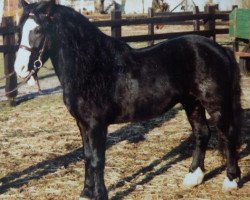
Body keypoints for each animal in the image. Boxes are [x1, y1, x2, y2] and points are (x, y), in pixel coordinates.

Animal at [14, 0, 241, 199]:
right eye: (20, 29)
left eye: (38, 30)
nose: (20, 69)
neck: (92, 67)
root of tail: (220, 49)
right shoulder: (82, 124)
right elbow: (86, 157)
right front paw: (86, 193)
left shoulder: (97, 125)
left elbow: (97, 159)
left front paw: (100, 195)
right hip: (192, 102)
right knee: (202, 133)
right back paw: (194, 177)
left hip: (216, 104)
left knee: (227, 134)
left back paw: (231, 180)